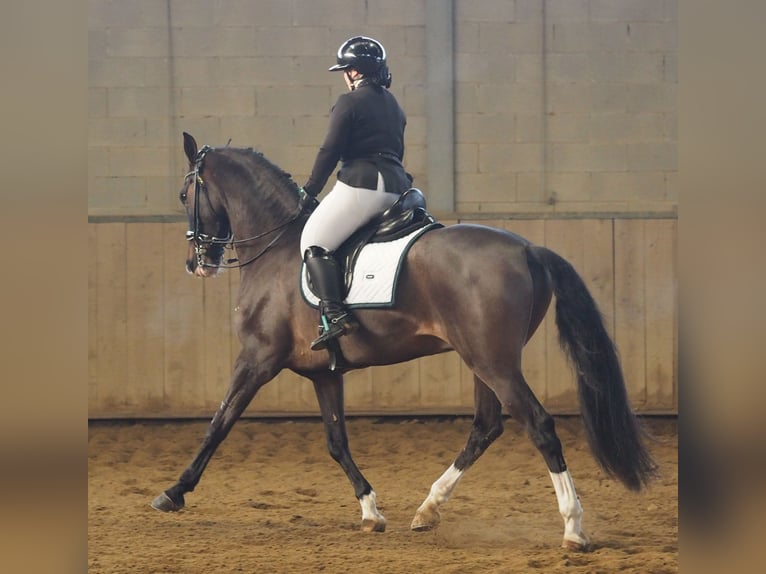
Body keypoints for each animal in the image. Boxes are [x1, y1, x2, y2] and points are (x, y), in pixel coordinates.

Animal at [153, 133, 656, 552]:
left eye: (184, 194)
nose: (196, 262)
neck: (275, 246)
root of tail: (527, 248)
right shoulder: (323, 374)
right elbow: (336, 441)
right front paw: (370, 511)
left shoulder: (257, 358)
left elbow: (219, 423)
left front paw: (173, 492)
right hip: (485, 361)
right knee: (485, 427)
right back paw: (428, 509)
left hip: (493, 362)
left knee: (540, 426)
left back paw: (573, 528)